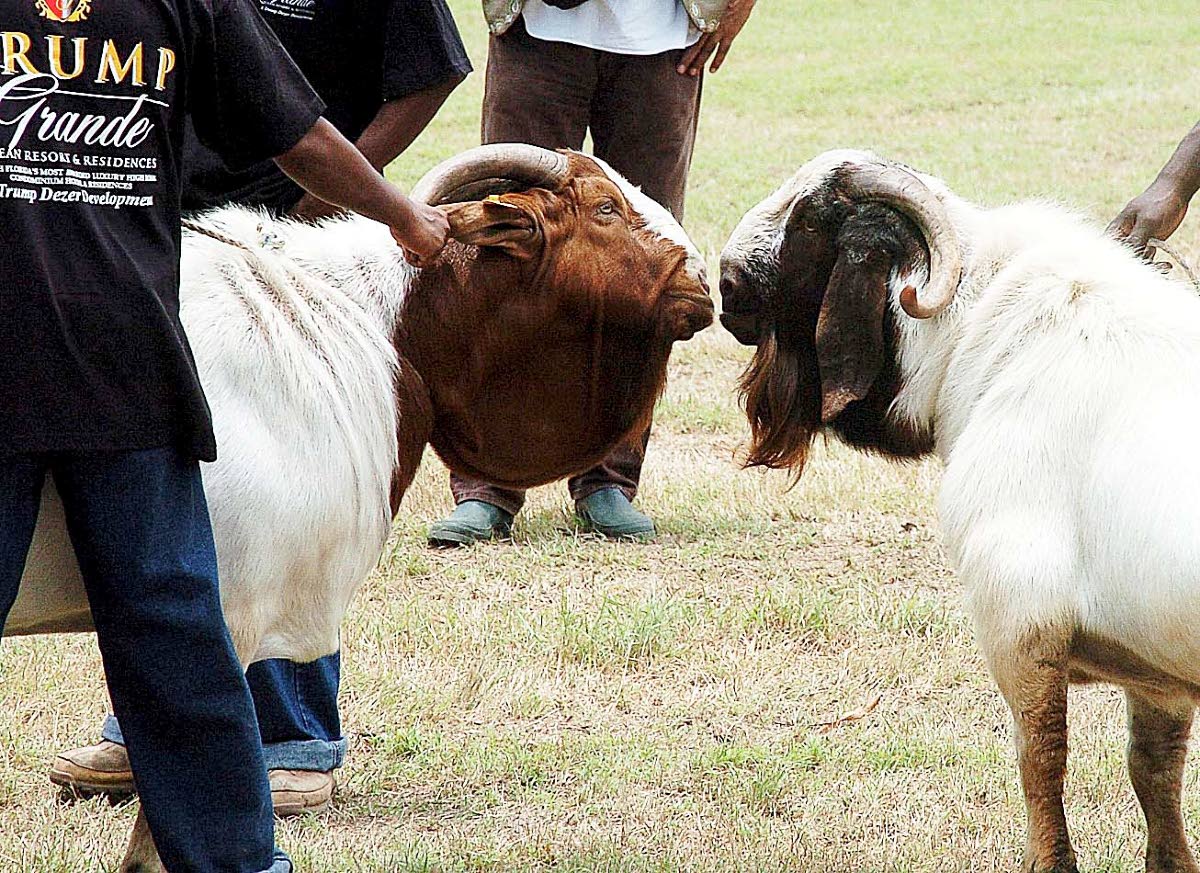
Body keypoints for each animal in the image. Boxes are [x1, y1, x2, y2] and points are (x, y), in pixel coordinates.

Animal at [718, 148, 1200, 873]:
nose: (724, 285)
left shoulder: (1019, 618)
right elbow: (1155, 777)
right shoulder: (1157, 672)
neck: (992, 337)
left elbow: (1042, 765)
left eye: (808, 218)